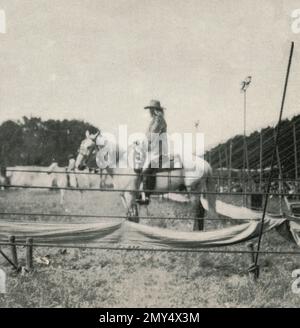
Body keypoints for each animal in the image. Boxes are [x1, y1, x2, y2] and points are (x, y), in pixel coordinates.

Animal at [74, 129, 217, 229]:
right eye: (80, 144)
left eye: (89, 147)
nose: (78, 165)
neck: (122, 165)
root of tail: (205, 163)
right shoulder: (124, 196)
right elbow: (132, 217)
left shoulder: (129, 195)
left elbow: (129, 216)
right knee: (201, 211)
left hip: (193, 191)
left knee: (198, 212)